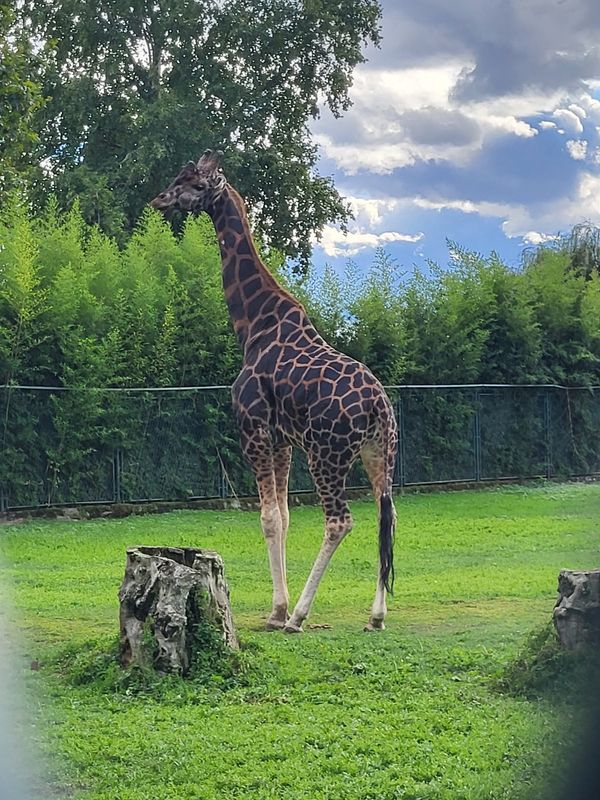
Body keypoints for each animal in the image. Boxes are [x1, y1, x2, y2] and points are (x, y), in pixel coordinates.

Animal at [150, 147, 398, 628]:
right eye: (178, 178)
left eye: (192, 181)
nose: (159, 199)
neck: (252, 325)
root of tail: (379, 404)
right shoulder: (282, 438)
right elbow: (282, 516)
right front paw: (275, 607)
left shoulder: (254, 428)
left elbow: (266, 517)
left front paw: (279, 611)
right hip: (378, 451)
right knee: (386, 512)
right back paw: (376, 616)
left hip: (327, 454)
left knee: (340, 521)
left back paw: (301, 614)